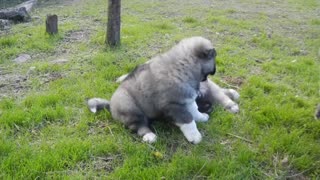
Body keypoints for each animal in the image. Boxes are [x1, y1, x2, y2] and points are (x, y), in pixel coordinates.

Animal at [87, 36, 235, 143]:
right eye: (213, 58)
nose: (215, 70)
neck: (183, 67)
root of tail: (110, 105)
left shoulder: (187, 99)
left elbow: (194, 111)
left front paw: (202, 117)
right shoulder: (175, 105)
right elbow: (188, 120)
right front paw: (195, 137)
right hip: (131, 108)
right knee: (139, 126)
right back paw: (150, 136)